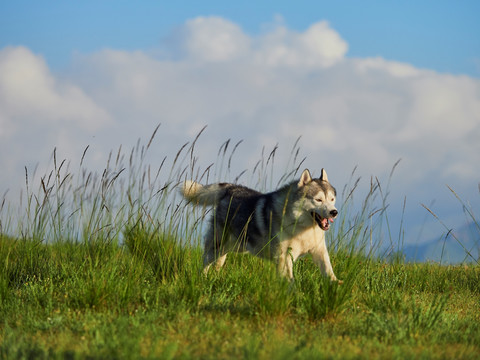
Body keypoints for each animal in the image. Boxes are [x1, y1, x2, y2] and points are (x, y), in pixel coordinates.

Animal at [181, 169, 342, 282]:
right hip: (217, 245)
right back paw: (203, 279)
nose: (334, 212)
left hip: (234, 248)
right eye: (318, 200)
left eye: (332, 199)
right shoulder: (284, 257)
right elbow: (290, 281)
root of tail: (231, 188)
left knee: (218, 263)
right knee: (205, 262)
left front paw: (336, 285)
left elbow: (328, 270)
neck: (303, 228)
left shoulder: (319, 250)